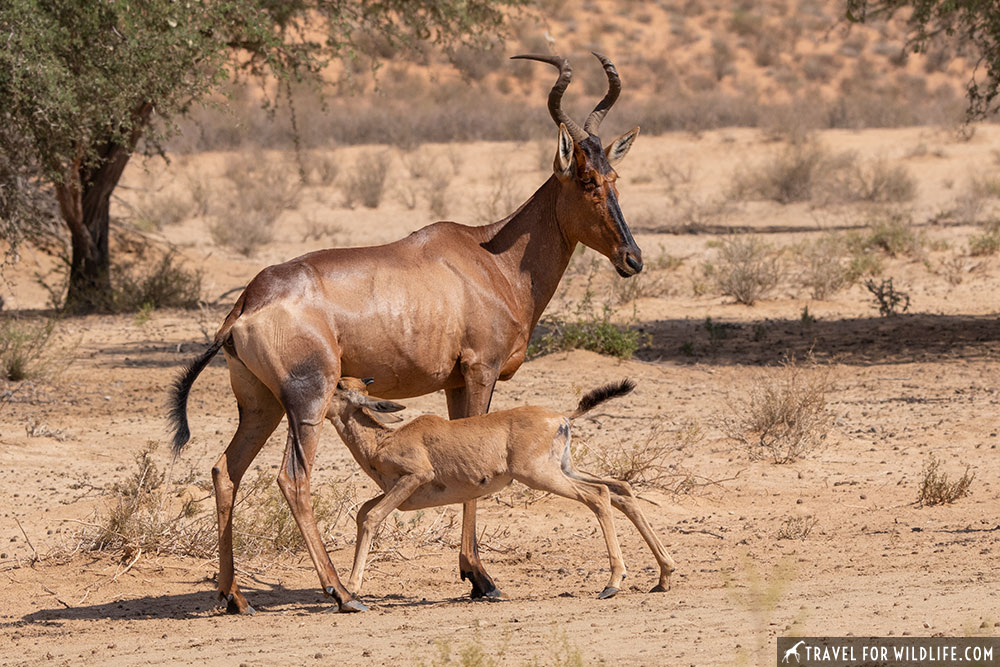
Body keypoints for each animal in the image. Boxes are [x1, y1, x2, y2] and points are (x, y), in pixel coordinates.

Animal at [332, 376, 676, 600]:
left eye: (339, 386)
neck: (384, 439)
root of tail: (562, 417)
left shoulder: (413, 478)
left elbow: (372, 517)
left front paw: (351, 588)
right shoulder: (399, 493)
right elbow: (363, 512)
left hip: (542, 476)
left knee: (599, 496)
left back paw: (612, 583)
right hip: (565, 470)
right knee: (620, 488)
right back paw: (663, 576)